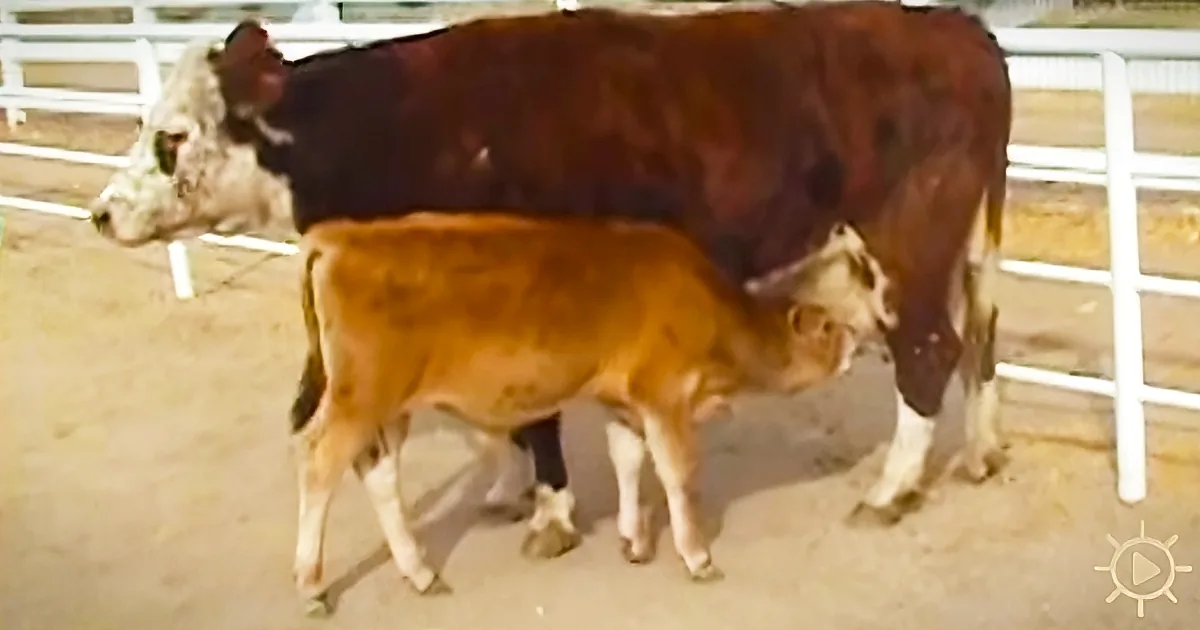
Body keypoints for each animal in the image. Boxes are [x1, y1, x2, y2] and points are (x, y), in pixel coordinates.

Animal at [87, 0, 1012, 562]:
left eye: (172, 136)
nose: (101, 213)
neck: (410, 123)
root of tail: (953, 28)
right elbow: (492, 415)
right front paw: (505, 490)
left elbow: (531, 417)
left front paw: (551, 514)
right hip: (963, 251)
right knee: (979, 343)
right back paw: (980, 454)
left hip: (905, 247)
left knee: (928, 352)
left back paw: (890, 491)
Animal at [290, 210, 862, 614]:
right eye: (828, 327)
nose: (858, 340)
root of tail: (343, 235)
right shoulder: (665, 397)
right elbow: (678, 476)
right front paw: (697, 556)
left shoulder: (622, 400)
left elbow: (627, 462)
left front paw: (634, 539)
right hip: (358, 401)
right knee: (320, 466)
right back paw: (312, 586)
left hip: (387, 409)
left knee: (379, 476)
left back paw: (420, 573)